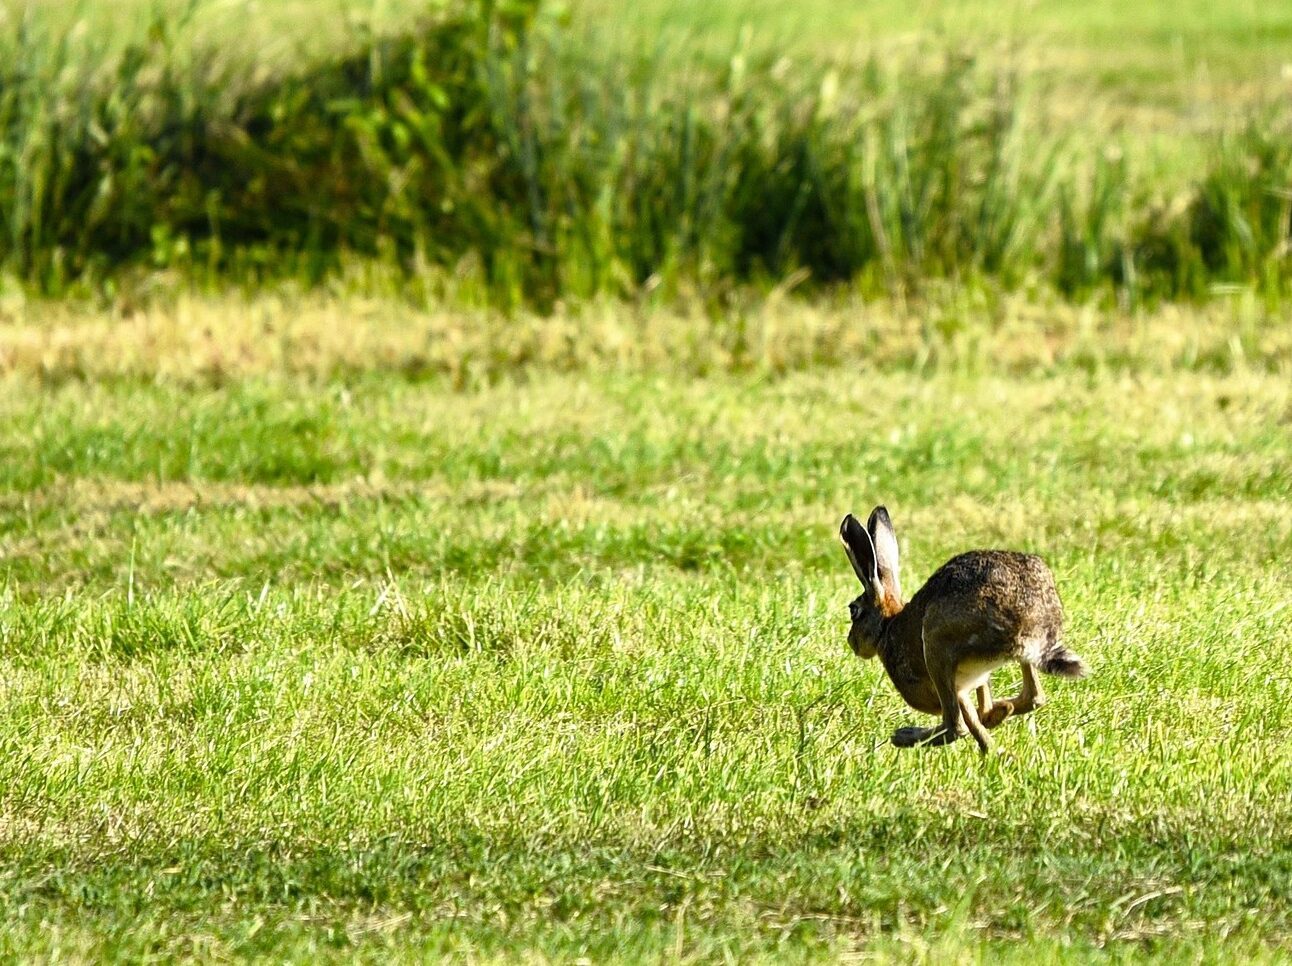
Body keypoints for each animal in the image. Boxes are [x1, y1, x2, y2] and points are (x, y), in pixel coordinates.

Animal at [839, 506, 1086, 753]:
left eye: (854, 610)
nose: (852, 642)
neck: (886, 627)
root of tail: (1025, 628)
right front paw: (995, 715)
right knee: (1033, 697)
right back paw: (999, 717)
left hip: (936, 646)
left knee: (955, 727)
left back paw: (904, 736)